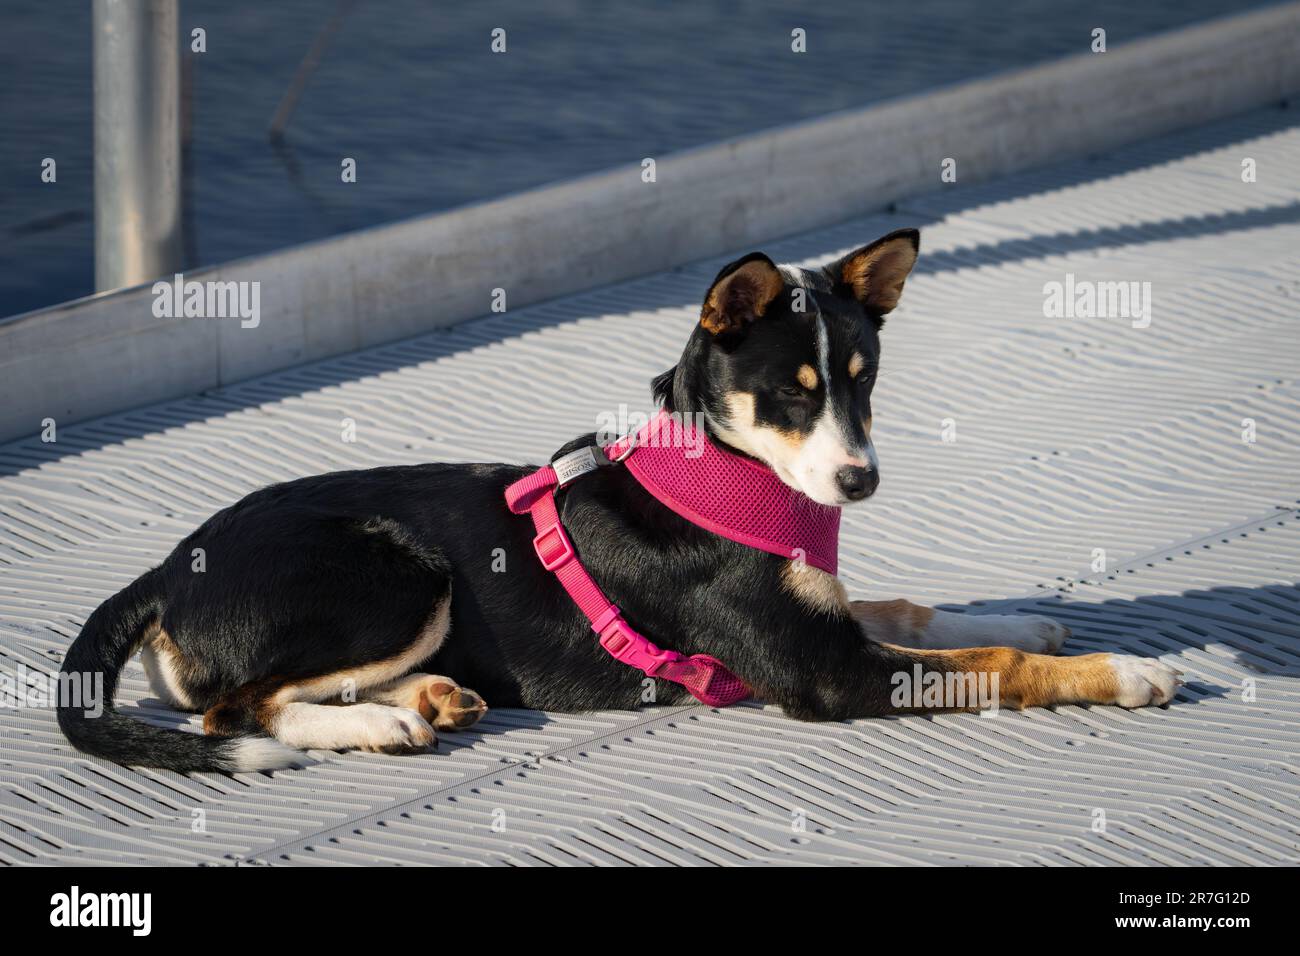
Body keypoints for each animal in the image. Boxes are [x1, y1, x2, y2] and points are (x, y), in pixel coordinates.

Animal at [55, 227, 1185, 775]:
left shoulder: (823, 610)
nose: (861, 481)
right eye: (792, 393)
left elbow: (918, 607)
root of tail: (166, 568)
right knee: (232, 711)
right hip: (395, 572)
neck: (731, 474)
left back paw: (425, 700)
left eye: (864, 381)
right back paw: (379, 725)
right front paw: (1123, 671)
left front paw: (1026, 613)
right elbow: (985, 664)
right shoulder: (823, 670)